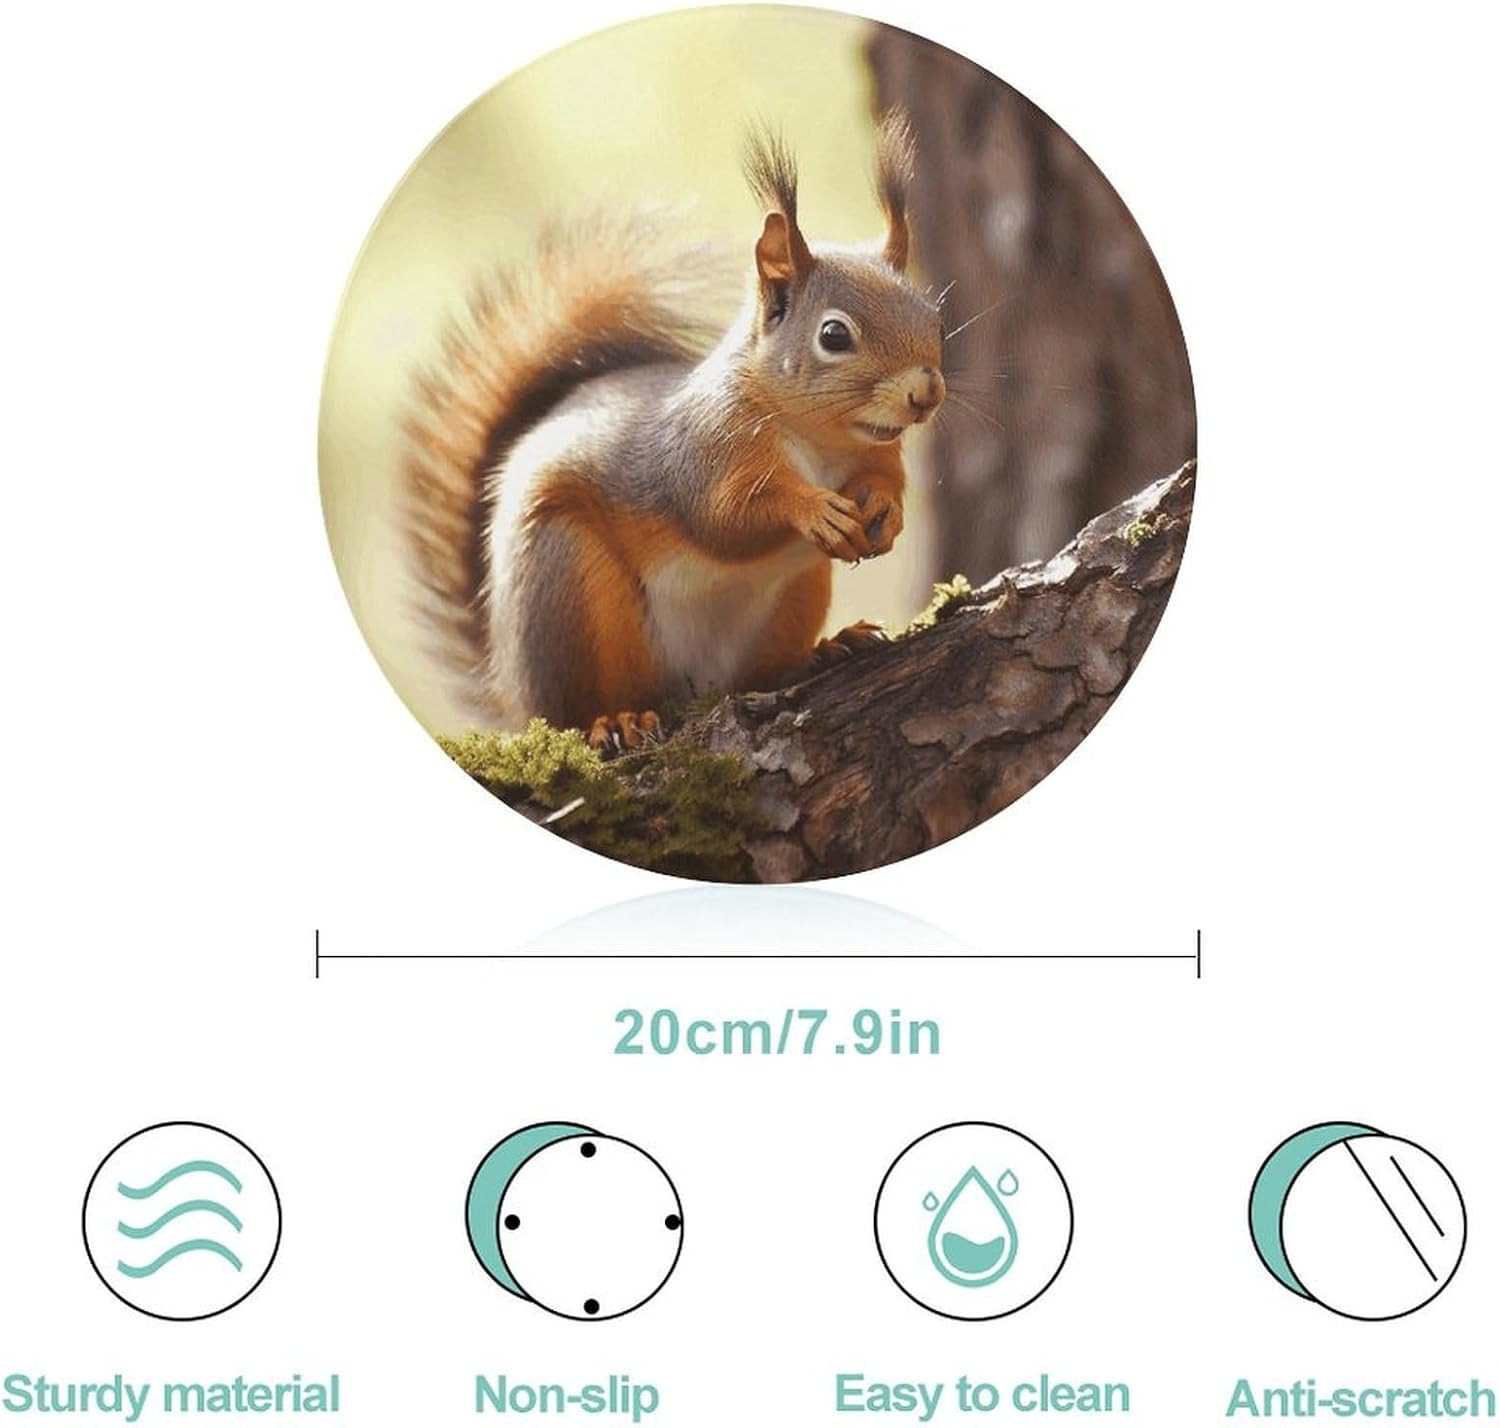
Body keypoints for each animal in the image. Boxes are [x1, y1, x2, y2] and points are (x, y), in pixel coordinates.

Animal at [403, 111, 945, 753]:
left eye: (934, 318)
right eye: (834, 335)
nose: (925, 393)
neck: (821, 439)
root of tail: (511, 694)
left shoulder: (878, 454)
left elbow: (881, 482)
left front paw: (887, 511)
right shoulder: (705, 449)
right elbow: (725, 519)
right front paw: (813, 509)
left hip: (797, 594)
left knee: (760, 673)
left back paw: (827, 649)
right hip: (568, 589)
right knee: (577, 708)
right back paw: (615, 720)